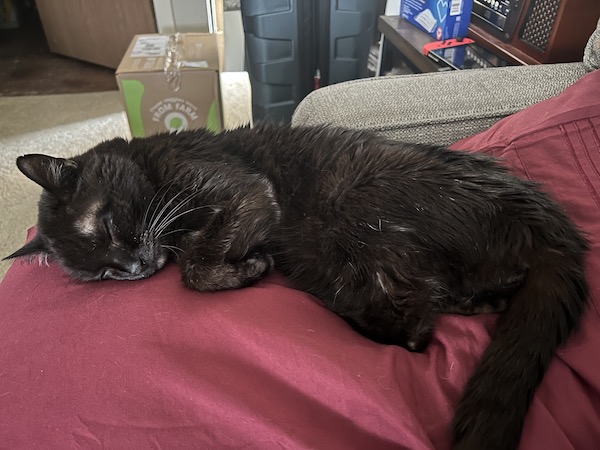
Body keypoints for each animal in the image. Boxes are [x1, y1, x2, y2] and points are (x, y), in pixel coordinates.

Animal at [4, 123, 588, 450]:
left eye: (103, 225)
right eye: (100, 273)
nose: (131, 268)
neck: (152, 166)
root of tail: (547, 221)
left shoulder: (245, 192)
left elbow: (195, 269)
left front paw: (248, 267)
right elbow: (195, 264)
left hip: (352, 210)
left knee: (414, 323)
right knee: (427, 311)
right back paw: (483, 298)